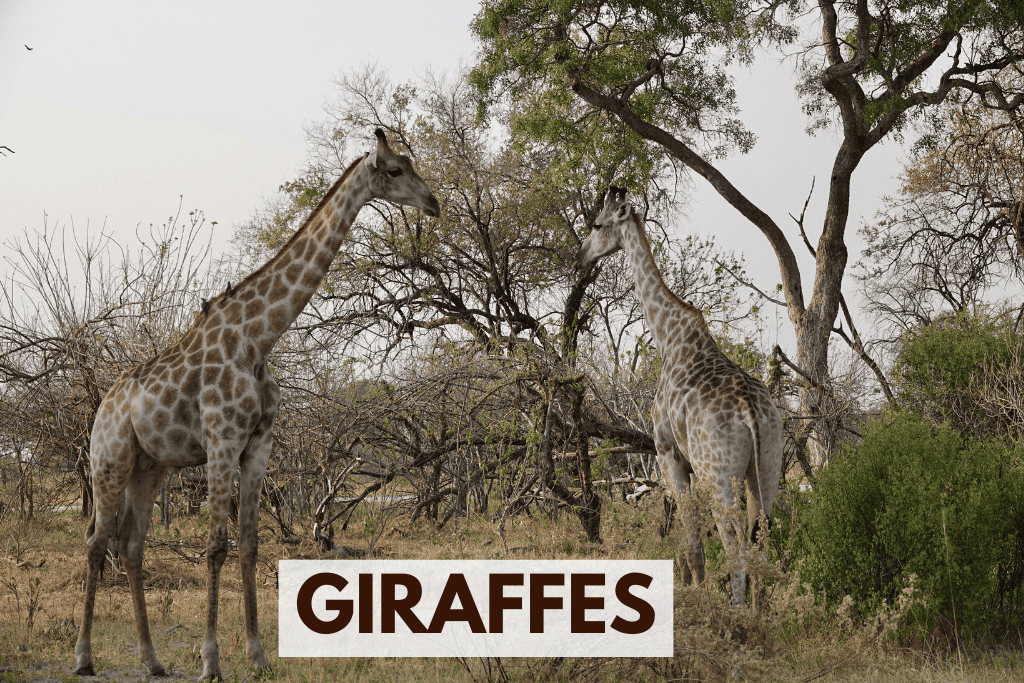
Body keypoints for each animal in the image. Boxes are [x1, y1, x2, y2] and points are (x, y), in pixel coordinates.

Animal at [75, 129, 440, 679]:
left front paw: (258, 655)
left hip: (149, 465)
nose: (434, 202)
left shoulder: (258, 443)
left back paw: (152, 660)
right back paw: (84, 657)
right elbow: (215, 547)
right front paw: (211, 662)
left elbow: (248, 542)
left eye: (412, 163)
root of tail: (104, 407)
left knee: (131, 545)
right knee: (96, 543)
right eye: (396, 170)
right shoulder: (222, 439)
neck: (258, 339)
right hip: (109, 459)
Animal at [573, 186, 783, 608]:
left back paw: (736, 614)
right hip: (767, 467)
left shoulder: (668, 453)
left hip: (719, 474)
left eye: (597, 224)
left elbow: (690, 541)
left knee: (735, 543)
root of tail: (751, 411)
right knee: (761, 538)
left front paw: (694, 596)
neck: (667, 337)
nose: (578, 258)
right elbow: (690, 540)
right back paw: (758, 612)